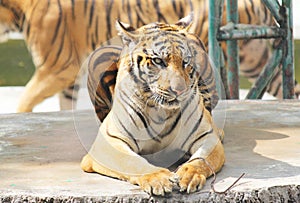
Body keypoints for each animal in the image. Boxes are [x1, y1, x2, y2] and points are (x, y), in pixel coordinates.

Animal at [79, 13, 225, 195]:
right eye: (158, 61)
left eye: (185, 62)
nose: (179, 90)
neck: (160, 112)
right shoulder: (109, 141)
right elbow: (132, 161)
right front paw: (158, 179)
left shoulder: (206, 136)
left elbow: (201, 160)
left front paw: (189, 175)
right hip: (98, 56)